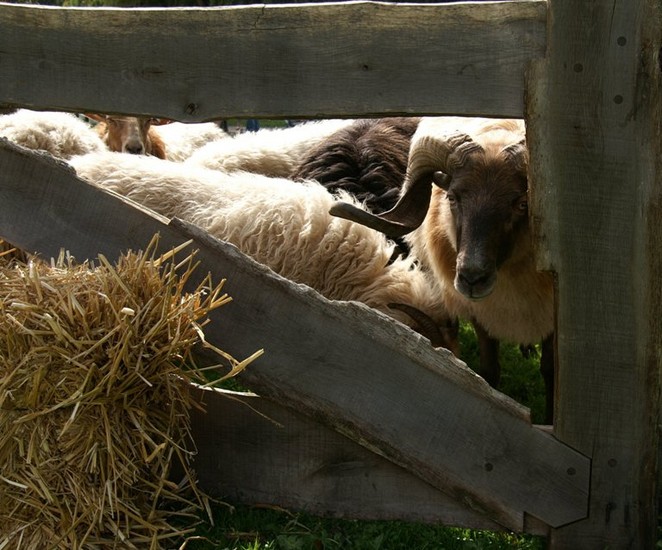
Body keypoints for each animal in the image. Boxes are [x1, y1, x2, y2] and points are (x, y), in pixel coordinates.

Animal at [330, 117, 556, 423]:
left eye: (521, 203)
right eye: (452, 198)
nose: (472, 277)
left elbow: (550, 372)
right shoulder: (478, 311)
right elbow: (489, 371)